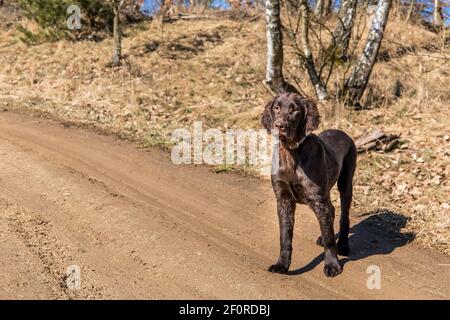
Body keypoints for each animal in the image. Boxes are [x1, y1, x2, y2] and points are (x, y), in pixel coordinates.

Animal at [262, 92, 356, 278]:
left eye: (295, 110)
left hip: (345, 183)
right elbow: (285, 236)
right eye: (276, 108)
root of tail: (343, 133)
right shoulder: (283, 199)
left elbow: (330, 239)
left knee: (344, 216)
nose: (279, 125)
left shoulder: (317, 199)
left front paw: (332, 265)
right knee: (331, 210)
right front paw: (282, 264)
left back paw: (343, 245)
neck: (292, 152)